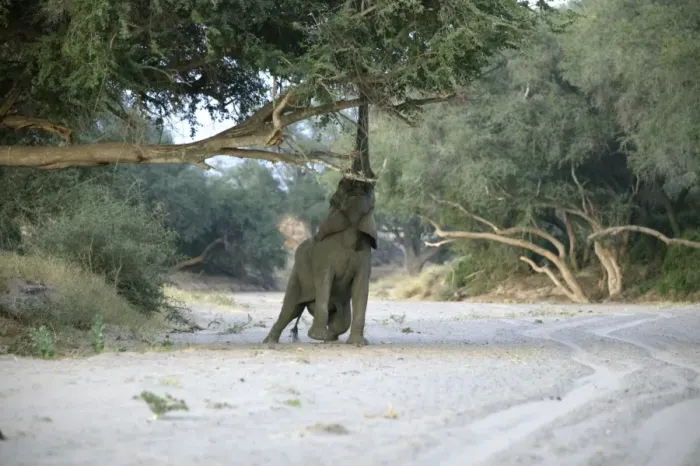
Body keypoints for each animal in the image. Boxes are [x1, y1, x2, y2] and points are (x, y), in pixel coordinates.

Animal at [263, 177, 377, 346]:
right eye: (338, 191)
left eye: (370, 190)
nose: (358, 181)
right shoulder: (323, 257)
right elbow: (324, 282)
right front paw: (316, 337)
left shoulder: (365, 255)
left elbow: (360, 287)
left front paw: (358, 343)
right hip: (297, 274)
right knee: (291, 310)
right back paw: (269, 342)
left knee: (342, 321)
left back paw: (329, 338)